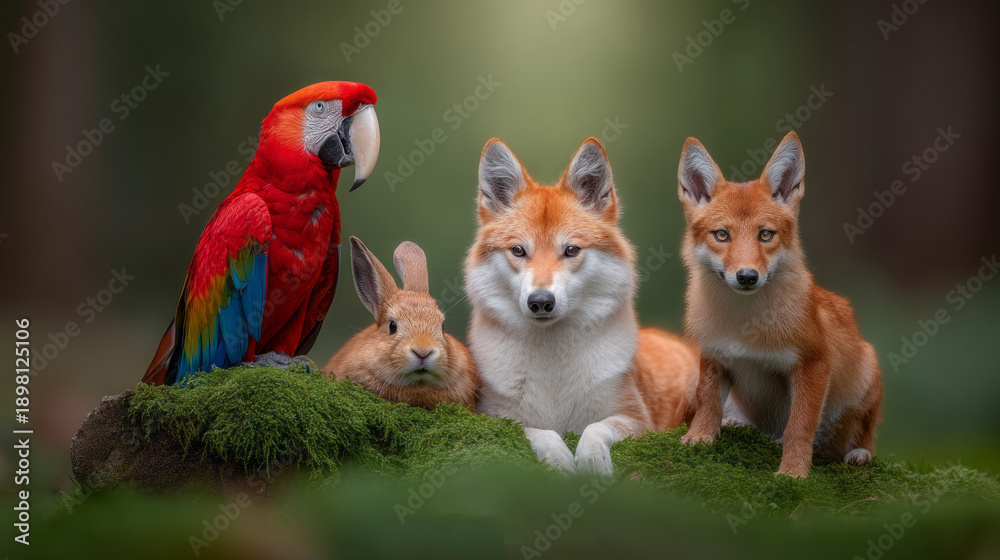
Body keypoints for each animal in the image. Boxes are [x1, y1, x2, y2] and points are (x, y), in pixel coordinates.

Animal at [465, 137, 700, 477]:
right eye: (518, 250)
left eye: (571, 250)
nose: (541, 301)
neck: (553, 372)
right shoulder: (493, 418)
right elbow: (539, 432)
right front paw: (558, 460)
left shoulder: (637, 419)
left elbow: (595, 428)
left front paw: (591, 460)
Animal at [676, 131, 883, 478]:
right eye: (722, 235)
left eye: (765, 235)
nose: (747, 276)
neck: (745, 328)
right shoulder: (714, 353)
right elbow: (707, 402)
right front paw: (699, 436)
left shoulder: (813, 363)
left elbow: (798, 427)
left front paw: (793, 472)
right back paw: (736, 423)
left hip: (868, 373)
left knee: (856, 440)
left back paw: (858, 454)